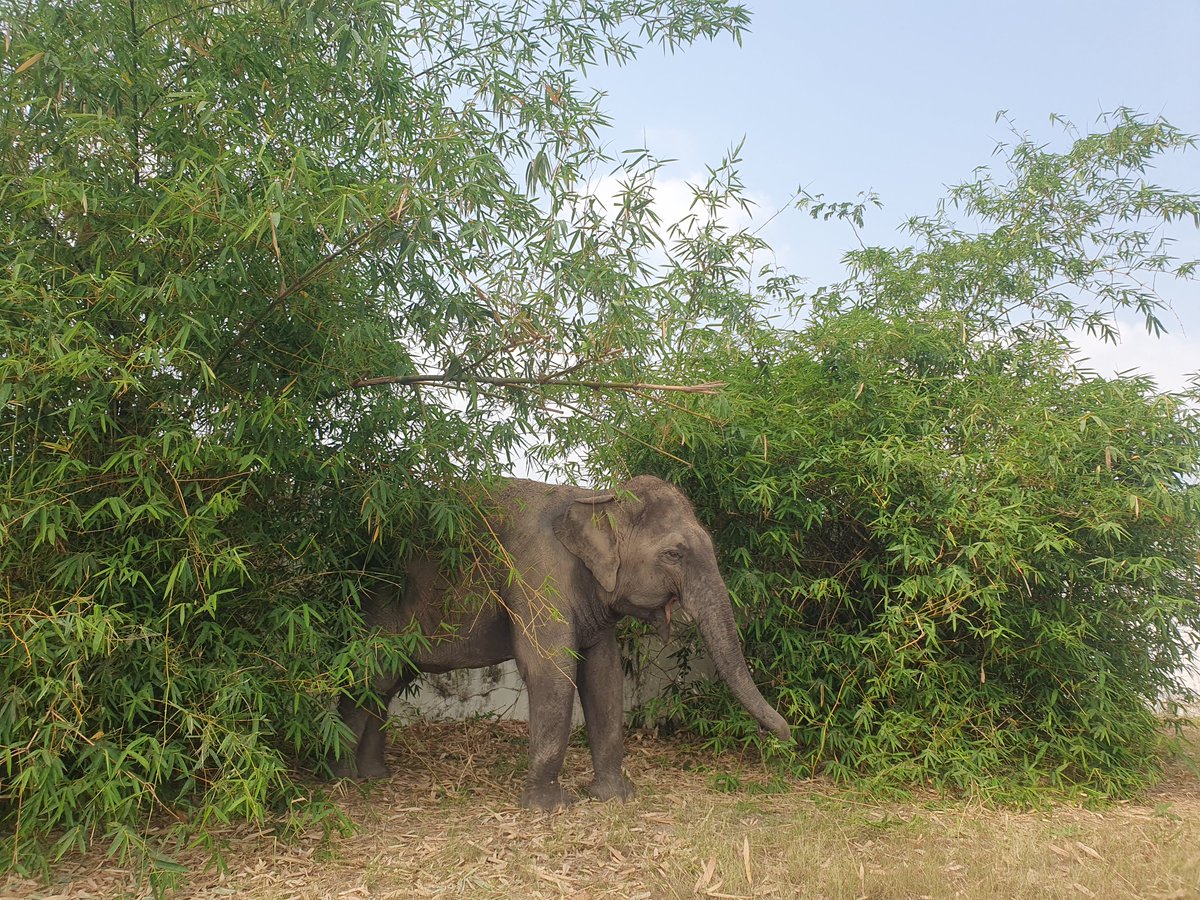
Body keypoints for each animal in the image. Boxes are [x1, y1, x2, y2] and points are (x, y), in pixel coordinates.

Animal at [333, 475, 792, 810]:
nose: (785, 734)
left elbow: (604, 673)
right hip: (376, 607)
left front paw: (613, 798)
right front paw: (549, 809)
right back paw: (341, 781)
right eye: (674, 554)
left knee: (384, 685)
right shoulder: (537, 571)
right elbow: (551, 668)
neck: (595, 497)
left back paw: (374, 776)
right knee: (368, 678)